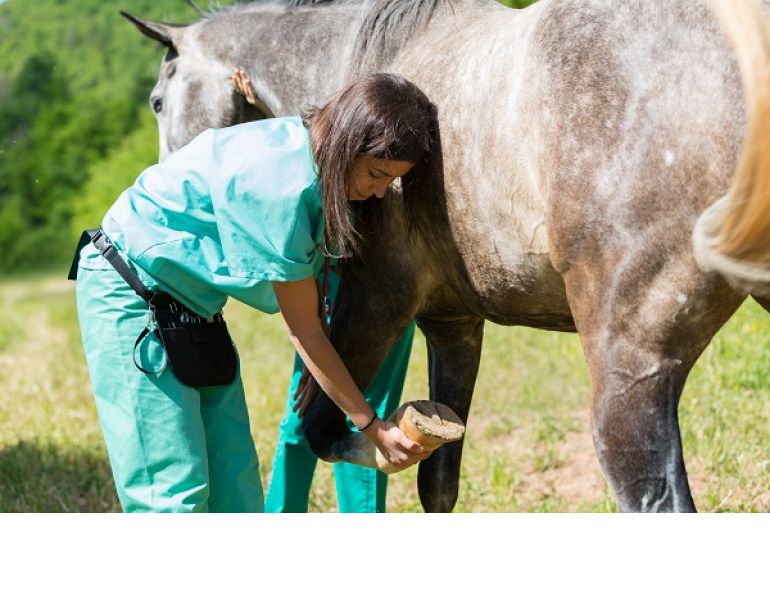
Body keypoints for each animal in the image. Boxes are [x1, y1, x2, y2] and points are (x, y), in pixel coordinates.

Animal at [122, 0, 770, 512]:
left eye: (155, 101)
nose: (161, 179)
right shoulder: (453, 325)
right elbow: (438, 479)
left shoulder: (374, 303)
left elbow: (324, 429)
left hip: (629, 373)